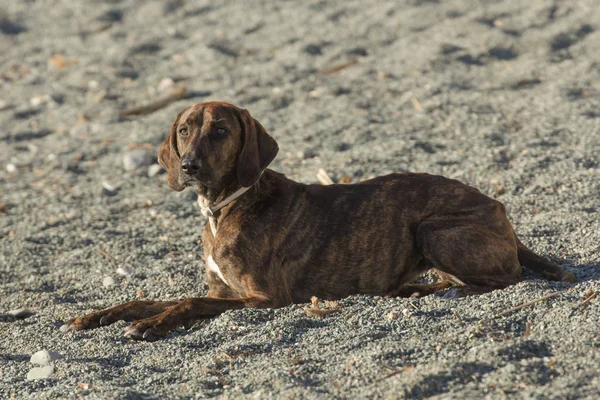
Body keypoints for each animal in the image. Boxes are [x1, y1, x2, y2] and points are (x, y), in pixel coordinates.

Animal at [63, 101, 576, 340]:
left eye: (221, 131)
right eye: (185, 130)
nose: (187, 166)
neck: (224, 206)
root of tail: (498, 207)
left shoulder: (263, 298)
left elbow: (188, 303)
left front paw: (151, 326)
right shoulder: (224, 292)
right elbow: (147, 299)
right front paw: (100, 315)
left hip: (433, 228)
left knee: (502, 278)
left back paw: (438, 292)